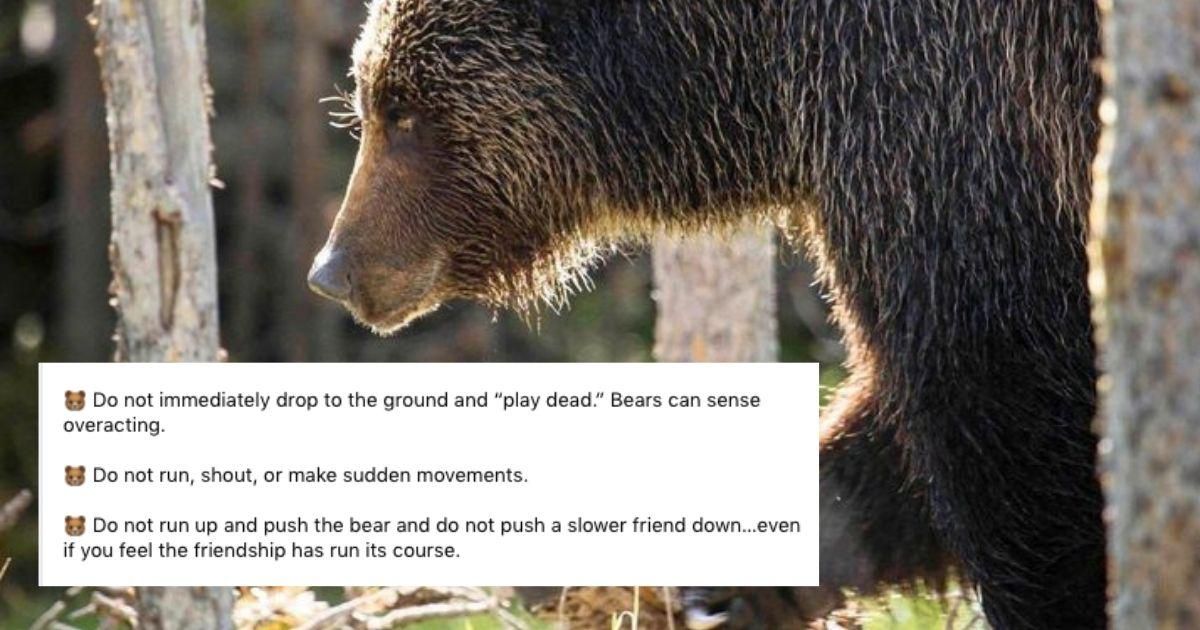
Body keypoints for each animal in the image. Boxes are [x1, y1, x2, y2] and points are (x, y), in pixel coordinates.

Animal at [308, 2, 1105, 628]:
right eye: (369, 98)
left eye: (401, 109)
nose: (333, 270)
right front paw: (733, 582)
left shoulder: (948, 122)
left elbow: (1007, 404)